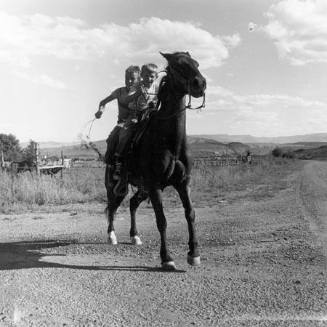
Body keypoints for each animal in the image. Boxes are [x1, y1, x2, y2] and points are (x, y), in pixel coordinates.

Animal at [106, 52, 206, 272]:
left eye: (196, 63)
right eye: (178, 65)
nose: (200, 83)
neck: (170, 142)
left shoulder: (183, 183)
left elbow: (190, 214)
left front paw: (194, 253)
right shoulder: (155, 185)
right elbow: (162, 220)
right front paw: (166, 258)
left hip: (142, 188)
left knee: (132, 204)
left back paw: (134, 236)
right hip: (117, 185)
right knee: (112, 206)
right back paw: (111, 235)